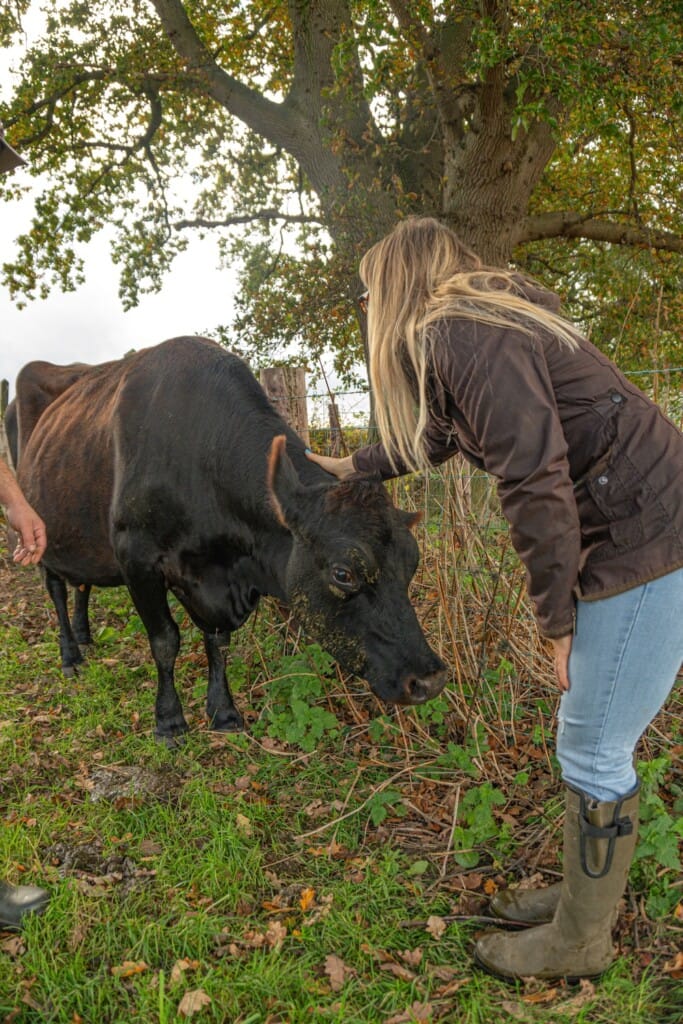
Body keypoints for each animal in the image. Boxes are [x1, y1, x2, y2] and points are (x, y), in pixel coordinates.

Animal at [14, 337, 447, 744]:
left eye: (412, 562)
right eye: (343, 573)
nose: (428, 680)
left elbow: (218, 643)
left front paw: (223, 712)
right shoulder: (135, 556)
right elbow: (165, 640)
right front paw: (169, 721)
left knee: (81, 583)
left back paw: (85, 637)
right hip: (38, 532)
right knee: (56, 589)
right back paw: (70, 654)